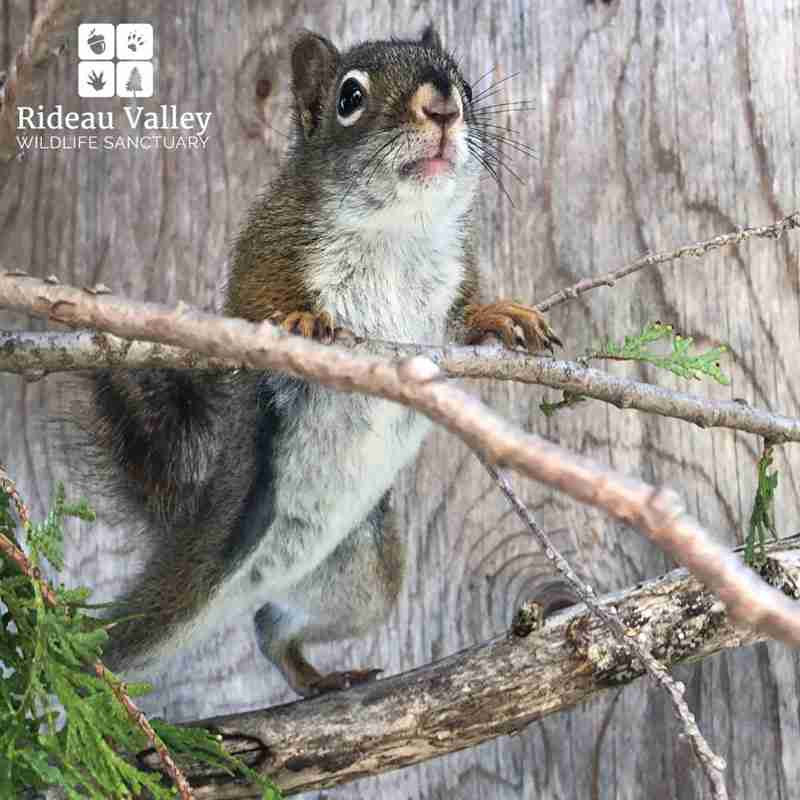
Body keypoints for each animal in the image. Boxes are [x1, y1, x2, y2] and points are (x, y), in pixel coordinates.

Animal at [86, 25, 560, 697]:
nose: (444, 106)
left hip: (364, 579)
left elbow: (461, 323)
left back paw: (316, 674)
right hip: (192, 583)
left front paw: (500, 314)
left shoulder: (449, 283)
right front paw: (302, 323)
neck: (397, 227)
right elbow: (256, 309)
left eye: (463, 80)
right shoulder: (268, 249)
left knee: (274, 629)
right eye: (349, 97)